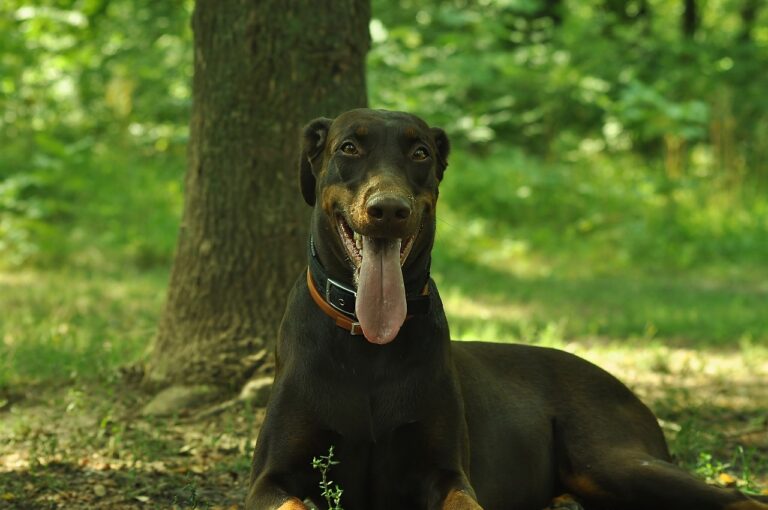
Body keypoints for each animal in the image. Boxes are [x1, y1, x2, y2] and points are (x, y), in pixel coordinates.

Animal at [246, 108, 760, 510]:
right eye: (349, 147)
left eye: (420, 154)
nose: (389, 209)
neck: (368, 345)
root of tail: (625, 387)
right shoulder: (270, 479)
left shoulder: (446, 471)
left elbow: (465, 499)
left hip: (611, 458)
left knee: (736, 497)